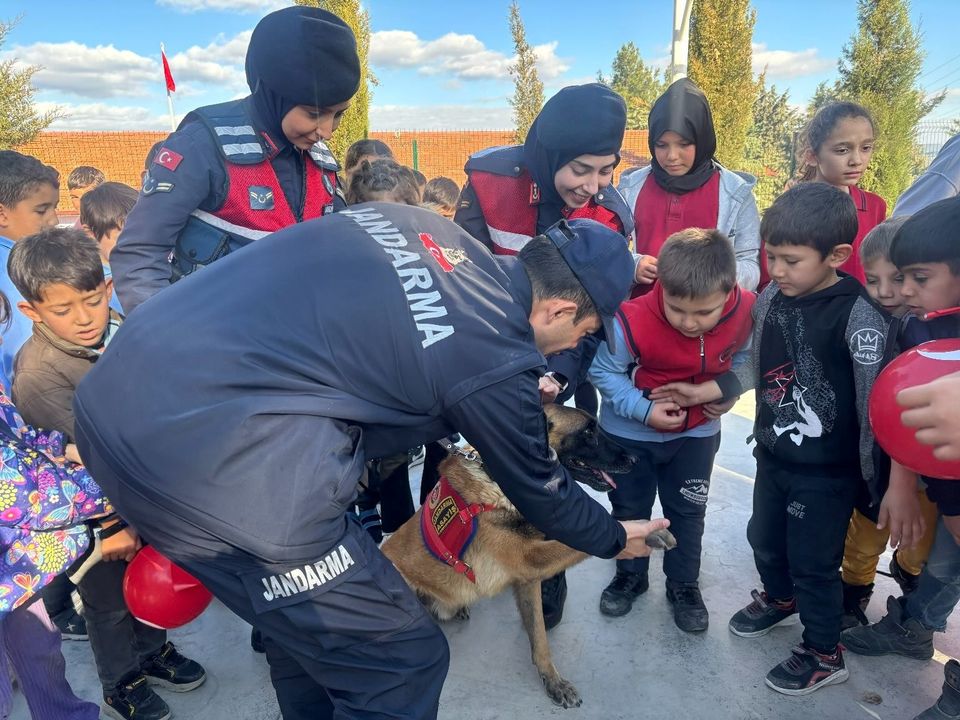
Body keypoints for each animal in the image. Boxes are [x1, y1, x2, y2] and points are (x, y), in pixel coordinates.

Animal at [380, 404, 676, 708]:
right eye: (588, 432)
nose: (635, 459)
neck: (496, 482)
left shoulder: (528, 577)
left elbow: (540, 636)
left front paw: (552, 680)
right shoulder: (528, 557)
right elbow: (585, 539)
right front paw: (644, 531)